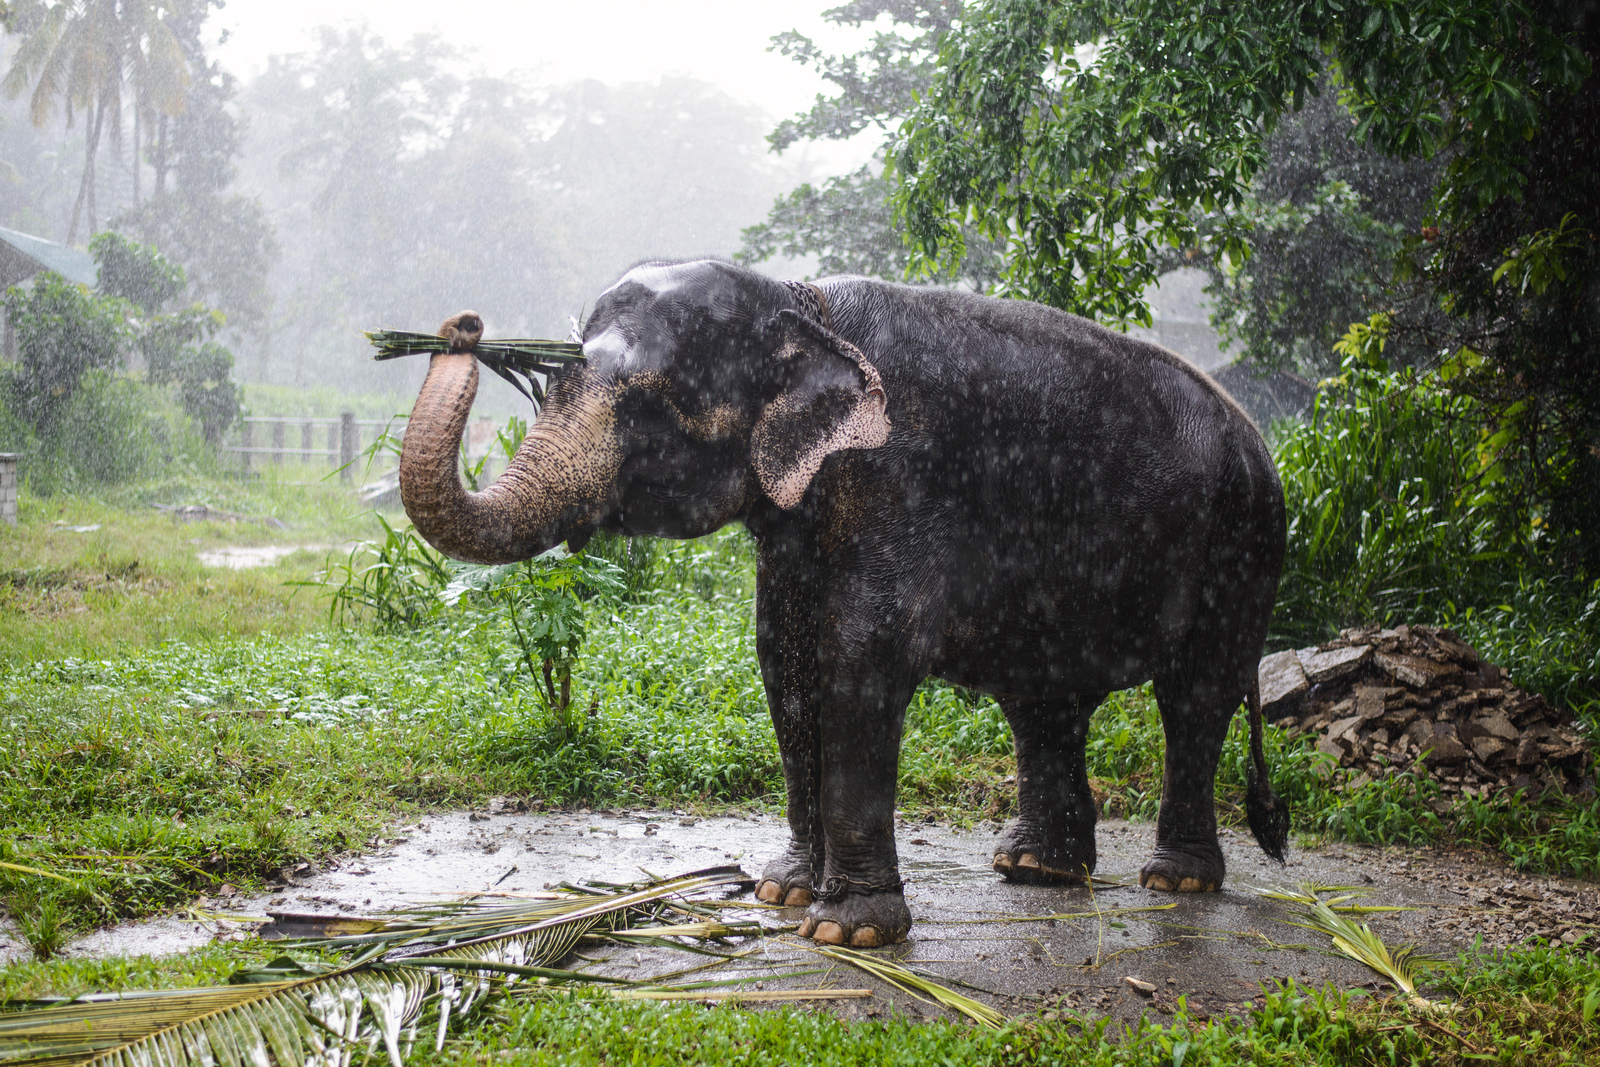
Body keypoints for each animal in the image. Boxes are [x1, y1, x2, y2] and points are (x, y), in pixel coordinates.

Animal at [396, 260, 1286, 953]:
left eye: (650, 402)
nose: (463, 327)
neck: (803, 302)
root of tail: (1259, 438)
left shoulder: (898, 477)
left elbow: (862, 655)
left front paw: (846, 929)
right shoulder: (798, 520)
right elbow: (783, 662)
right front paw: (783, 891)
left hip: (1242, 546)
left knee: (1195, 698)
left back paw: (1175, 881)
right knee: (1043, 701)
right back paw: (1037, 869)